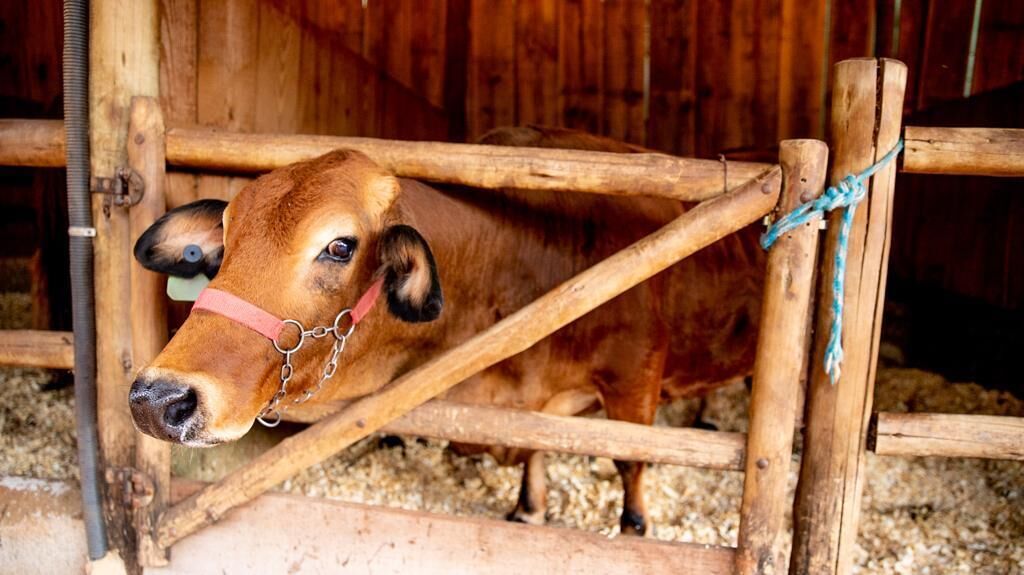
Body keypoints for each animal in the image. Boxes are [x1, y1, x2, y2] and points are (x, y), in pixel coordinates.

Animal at [129, 125, 765, 536]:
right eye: (226, 238)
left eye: (339, 246)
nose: (159, 398)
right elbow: (540, 447)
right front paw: (529, 508)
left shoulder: (635, 378)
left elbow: (630, 459)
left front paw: (633, 522)